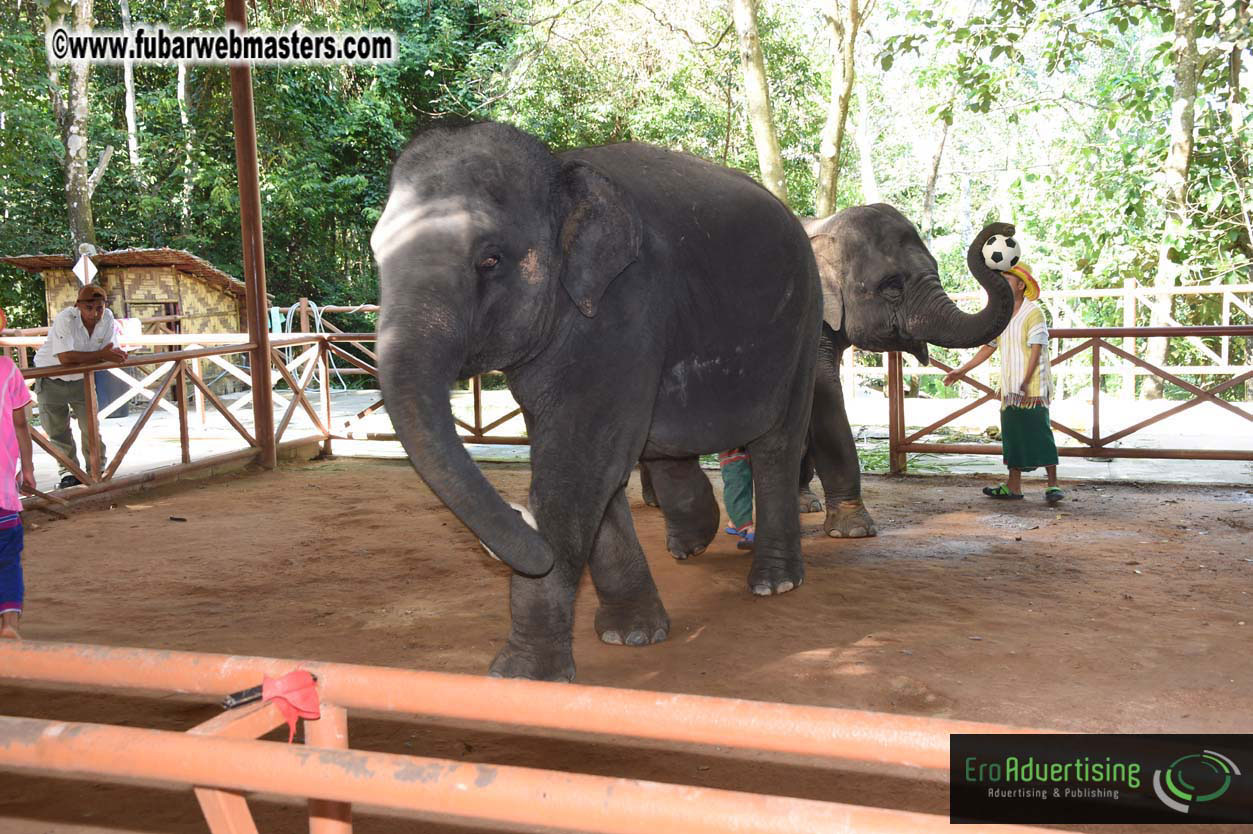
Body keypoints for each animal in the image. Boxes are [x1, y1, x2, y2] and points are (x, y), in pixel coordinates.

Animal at [374, 121, 821, 681]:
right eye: (374, 254)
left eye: (490, 259)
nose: (518, 517)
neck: (560, 169)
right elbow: (593, 465)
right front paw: (632, 636)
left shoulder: (623, 305)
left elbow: (579, 463)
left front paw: (521, 677)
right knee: (667, 444)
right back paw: (692, 542)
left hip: (805, 319)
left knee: (777, 444)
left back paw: (774, 583)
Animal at [642, 206, 1015, 554]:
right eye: (892, 285)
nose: (1006, 230)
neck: (826, 227)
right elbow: (822, 391)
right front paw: (854, 530)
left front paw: (805, 506)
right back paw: (655, 503)